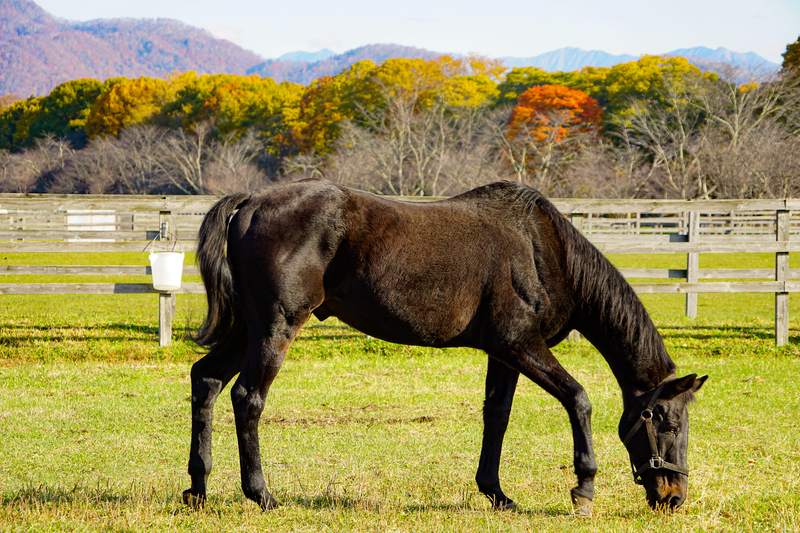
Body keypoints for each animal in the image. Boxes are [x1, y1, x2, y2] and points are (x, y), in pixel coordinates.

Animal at [186, 179, 708, 516]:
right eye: (668, 422)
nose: (674, 497)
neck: (542, 249)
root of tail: (250, 202)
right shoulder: (521, 344)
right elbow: (578, 399)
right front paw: (583, 487)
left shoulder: (505, 354)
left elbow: (496, 416)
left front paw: (496, 494)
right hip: (276, 327)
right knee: (247, 399)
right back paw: (261, 494)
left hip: (249, 330)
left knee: (206, 380)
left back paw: (197, 487)